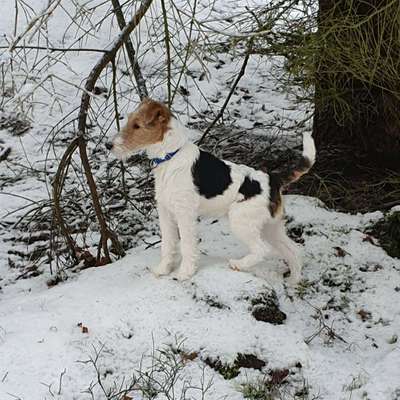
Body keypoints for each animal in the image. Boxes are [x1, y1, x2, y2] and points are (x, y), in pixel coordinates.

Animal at [107, 98, 316, 282]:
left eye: (137, 126)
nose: (108, 145)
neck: (170, 156)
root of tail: (273, 179)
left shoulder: (185, 214)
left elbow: (187, 246)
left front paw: (184, 273)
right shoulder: (166, 212)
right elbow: (168, 244)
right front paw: (163, 269)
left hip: (241, 222)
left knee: (261, 250)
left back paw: (238, 264)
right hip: (270, 227)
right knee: (293, 251)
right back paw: (294, 282)